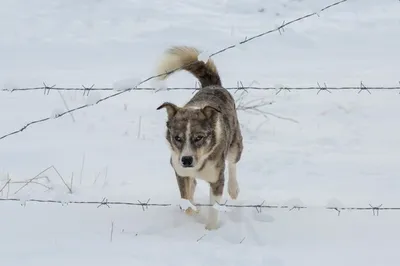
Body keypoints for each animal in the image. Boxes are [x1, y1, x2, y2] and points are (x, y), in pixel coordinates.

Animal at [156, 46, 244, 231]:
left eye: (199, 137)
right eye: (177, 137)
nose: (187, 160)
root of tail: (213, 85)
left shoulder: (217, 177)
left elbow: (215, 205)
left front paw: (210, 229)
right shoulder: (180, 171)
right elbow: (186, 197)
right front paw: (191, 213)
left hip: (235, 142)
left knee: (233, 162)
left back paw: (233, 189)